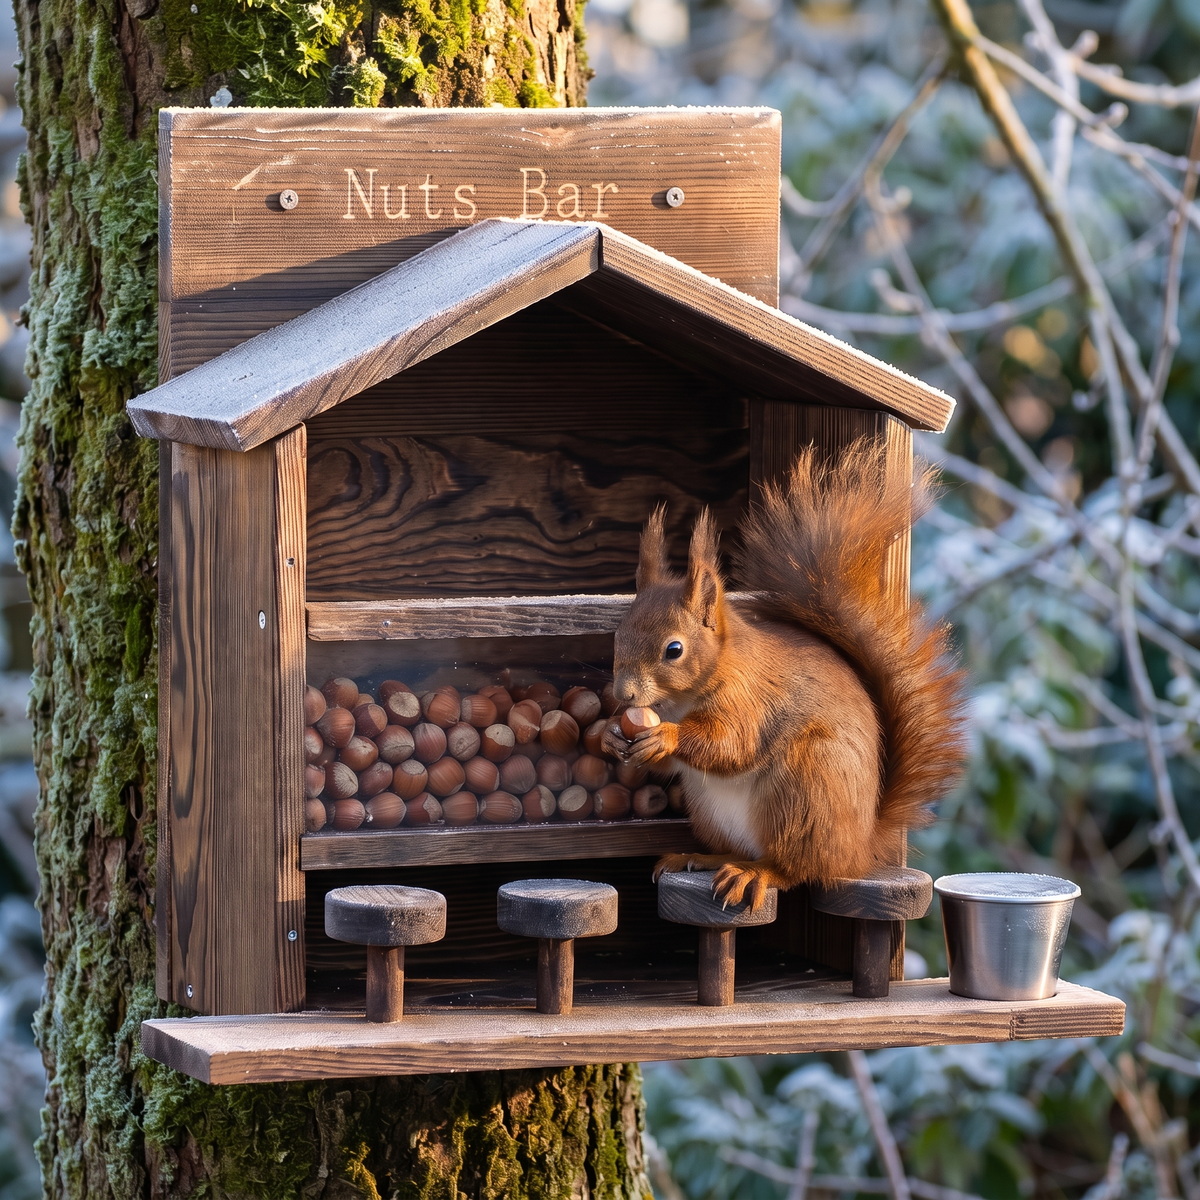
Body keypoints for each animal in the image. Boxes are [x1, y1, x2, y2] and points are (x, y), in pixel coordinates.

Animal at [602, 439, 968, 912]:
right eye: (617, 636)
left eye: (674, 650)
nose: (623, 694)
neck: (681, 700)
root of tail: (859, 847)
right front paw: (611, 734)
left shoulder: (749, 699)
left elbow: (731, 743)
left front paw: (666, 736)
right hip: (712, 807)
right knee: (742, 848)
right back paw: (701, 857)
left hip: (804, 788)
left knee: (797, 868)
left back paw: (754, 873)